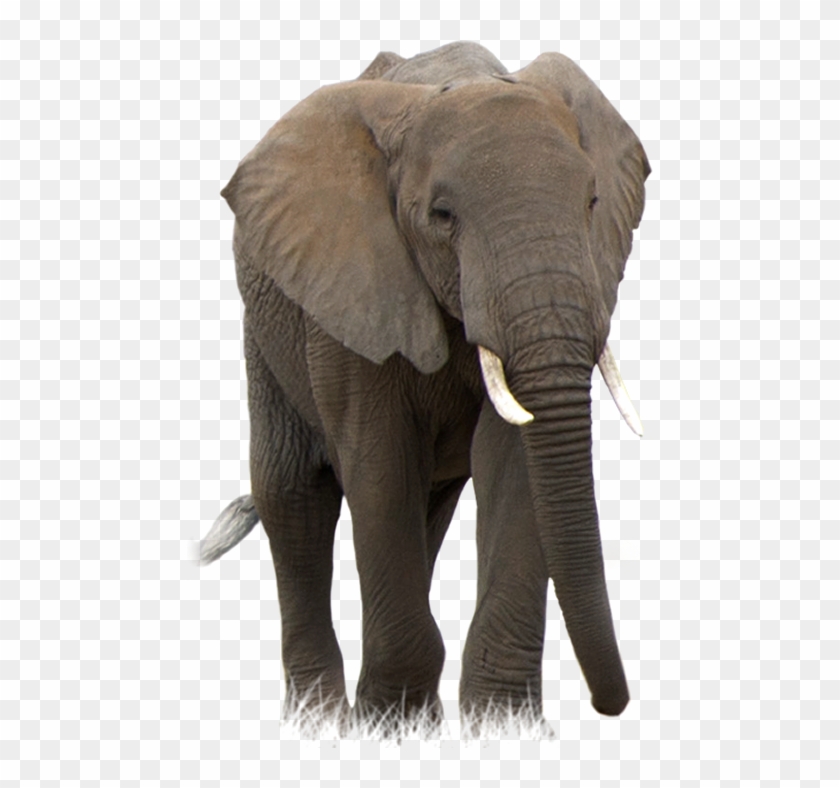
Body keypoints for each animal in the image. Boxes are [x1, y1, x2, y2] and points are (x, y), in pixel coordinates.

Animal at [199, 42, 650, 735]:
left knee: (428, 508)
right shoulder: (354, 283)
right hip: (268, 327)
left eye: (593, 202)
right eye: (442, 216)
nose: (612, 705)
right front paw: (391, 728)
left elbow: (513, 461)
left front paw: (505, 730)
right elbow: (380, 465)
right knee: (293, 494)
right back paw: (318, 724)